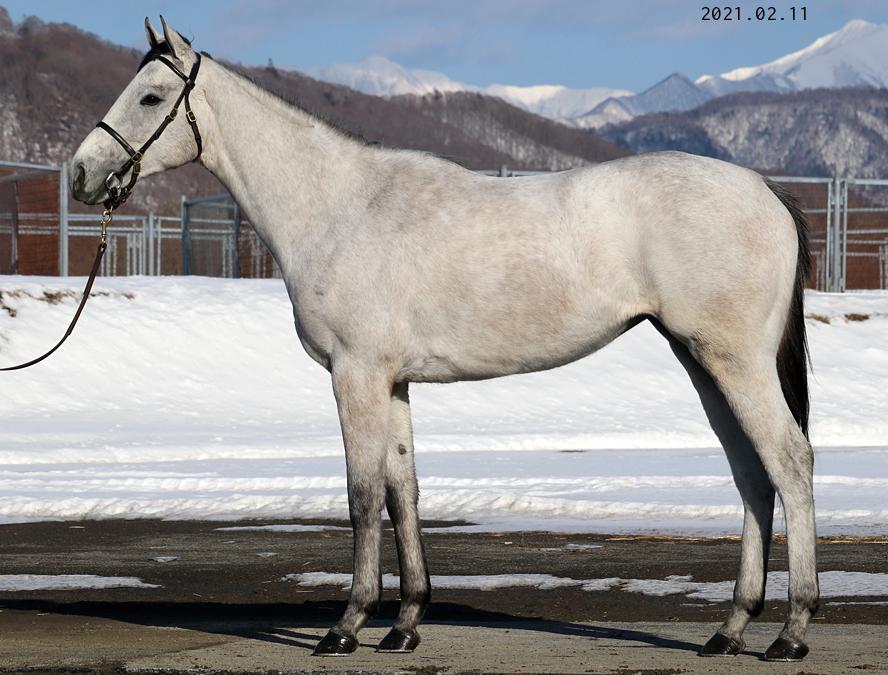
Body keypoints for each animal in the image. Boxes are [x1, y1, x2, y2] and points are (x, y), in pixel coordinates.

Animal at [70, 17, 818, 662]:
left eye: (151, 95)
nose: (81, 174)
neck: (339, 207)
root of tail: (765, 192)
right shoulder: (394, 382)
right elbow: (403, 490)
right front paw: (404, 624)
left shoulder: (355, 375)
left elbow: (361, 494)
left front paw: (346, 626)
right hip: (701, 361)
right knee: (751, 473)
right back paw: (730, 629)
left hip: (735, 362)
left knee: (788, 460)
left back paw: (791, 630)